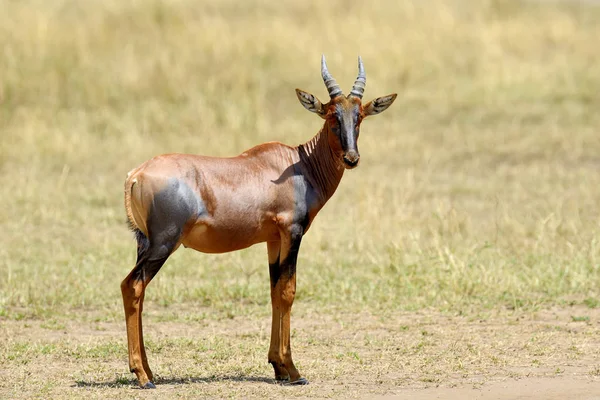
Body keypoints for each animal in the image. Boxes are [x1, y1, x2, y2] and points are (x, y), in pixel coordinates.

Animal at [120, 56, 396, 388]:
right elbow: (289, 290)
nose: (351, 159)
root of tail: (137, 174)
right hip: (164, 243)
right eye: (331, 116)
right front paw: (293, 371)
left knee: (138, 292)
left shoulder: (273, 239)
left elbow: (275, 290)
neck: (298, 164)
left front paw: (278, 366)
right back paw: (141, 375)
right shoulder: (292, 232)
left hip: (144, 242)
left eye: (359, 117)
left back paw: (148, 371)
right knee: (132, 285)